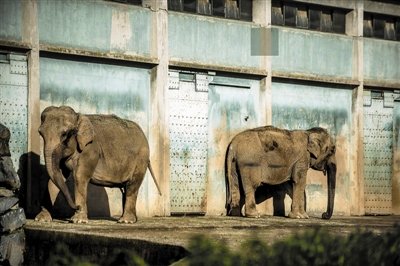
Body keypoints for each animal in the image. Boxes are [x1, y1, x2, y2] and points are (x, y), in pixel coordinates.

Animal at [34, 106, 162, 224]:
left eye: (64, 134)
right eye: (40, 133)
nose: (77, 207)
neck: (78, 116)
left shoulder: (90, 149)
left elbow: (80, 176)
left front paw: (78, 220)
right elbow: (56, 176)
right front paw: (41, 219)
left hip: (141, 160)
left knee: (132, 185)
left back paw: (125, 221)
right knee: (126, 188)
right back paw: (129, 219)